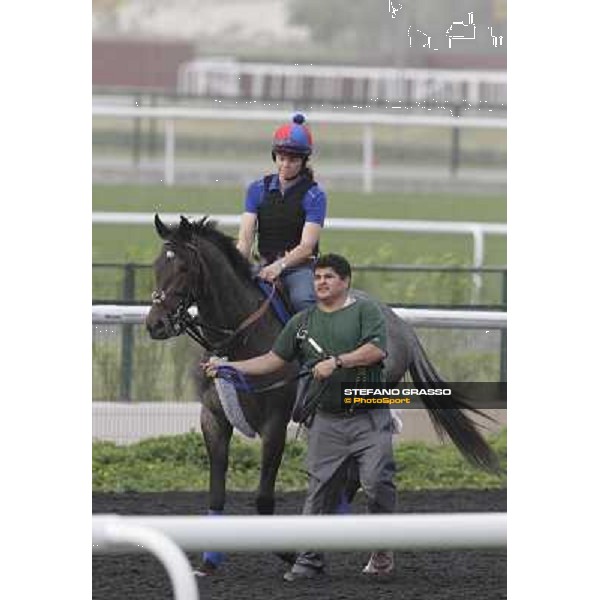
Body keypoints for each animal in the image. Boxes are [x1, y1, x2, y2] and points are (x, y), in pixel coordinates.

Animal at [144, 214, 496, 572]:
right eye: (157, 265)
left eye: (183, 267)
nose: (156, 324)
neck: (241, 339)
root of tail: (400, 324)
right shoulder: (213, 419)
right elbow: (216, 491)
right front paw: (209, 561)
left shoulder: (274, 424)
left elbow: (264, 497)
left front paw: (288, 553)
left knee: (356, 476)